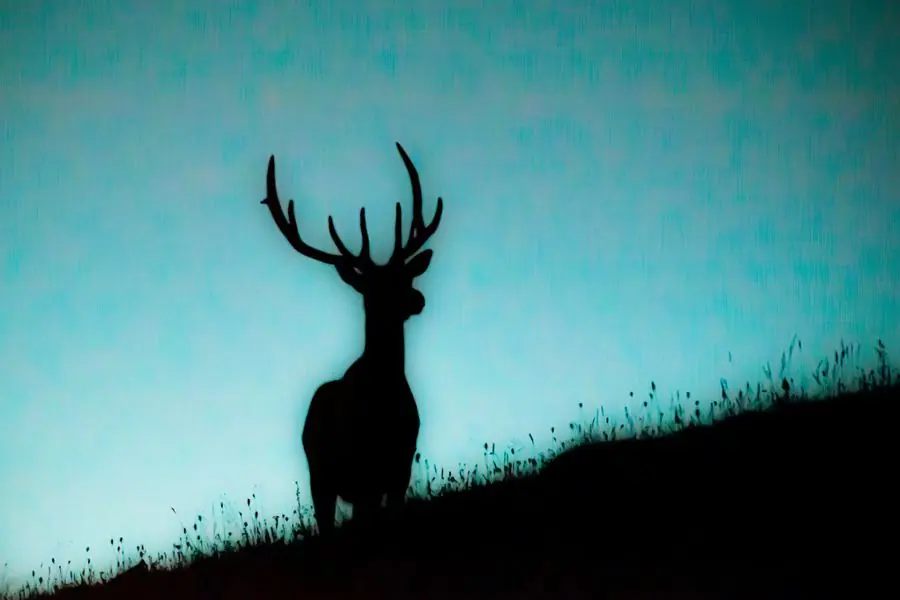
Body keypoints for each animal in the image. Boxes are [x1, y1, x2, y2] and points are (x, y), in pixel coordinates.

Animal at [260, 142, 444, 535]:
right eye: (374, 288)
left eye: (406, 276)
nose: (418, 300)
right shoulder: (363, 475)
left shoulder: (401, 466)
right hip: (320, 478)